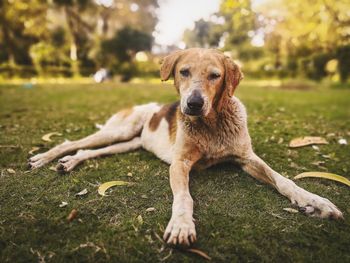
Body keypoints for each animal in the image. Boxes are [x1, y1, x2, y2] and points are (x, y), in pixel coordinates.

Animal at [28, 48, 344, 248]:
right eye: (183, 71)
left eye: (215, 75)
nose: (192, 104)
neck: (213, 125)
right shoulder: (180, 164)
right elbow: (184, 198)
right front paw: (182, 225)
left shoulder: (246, 158)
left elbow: (284, 180)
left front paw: (315, 202)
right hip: (119, 130)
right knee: (73, 143)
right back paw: (44, 158)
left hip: (125, 144)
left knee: (88, 152)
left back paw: (69, 163)